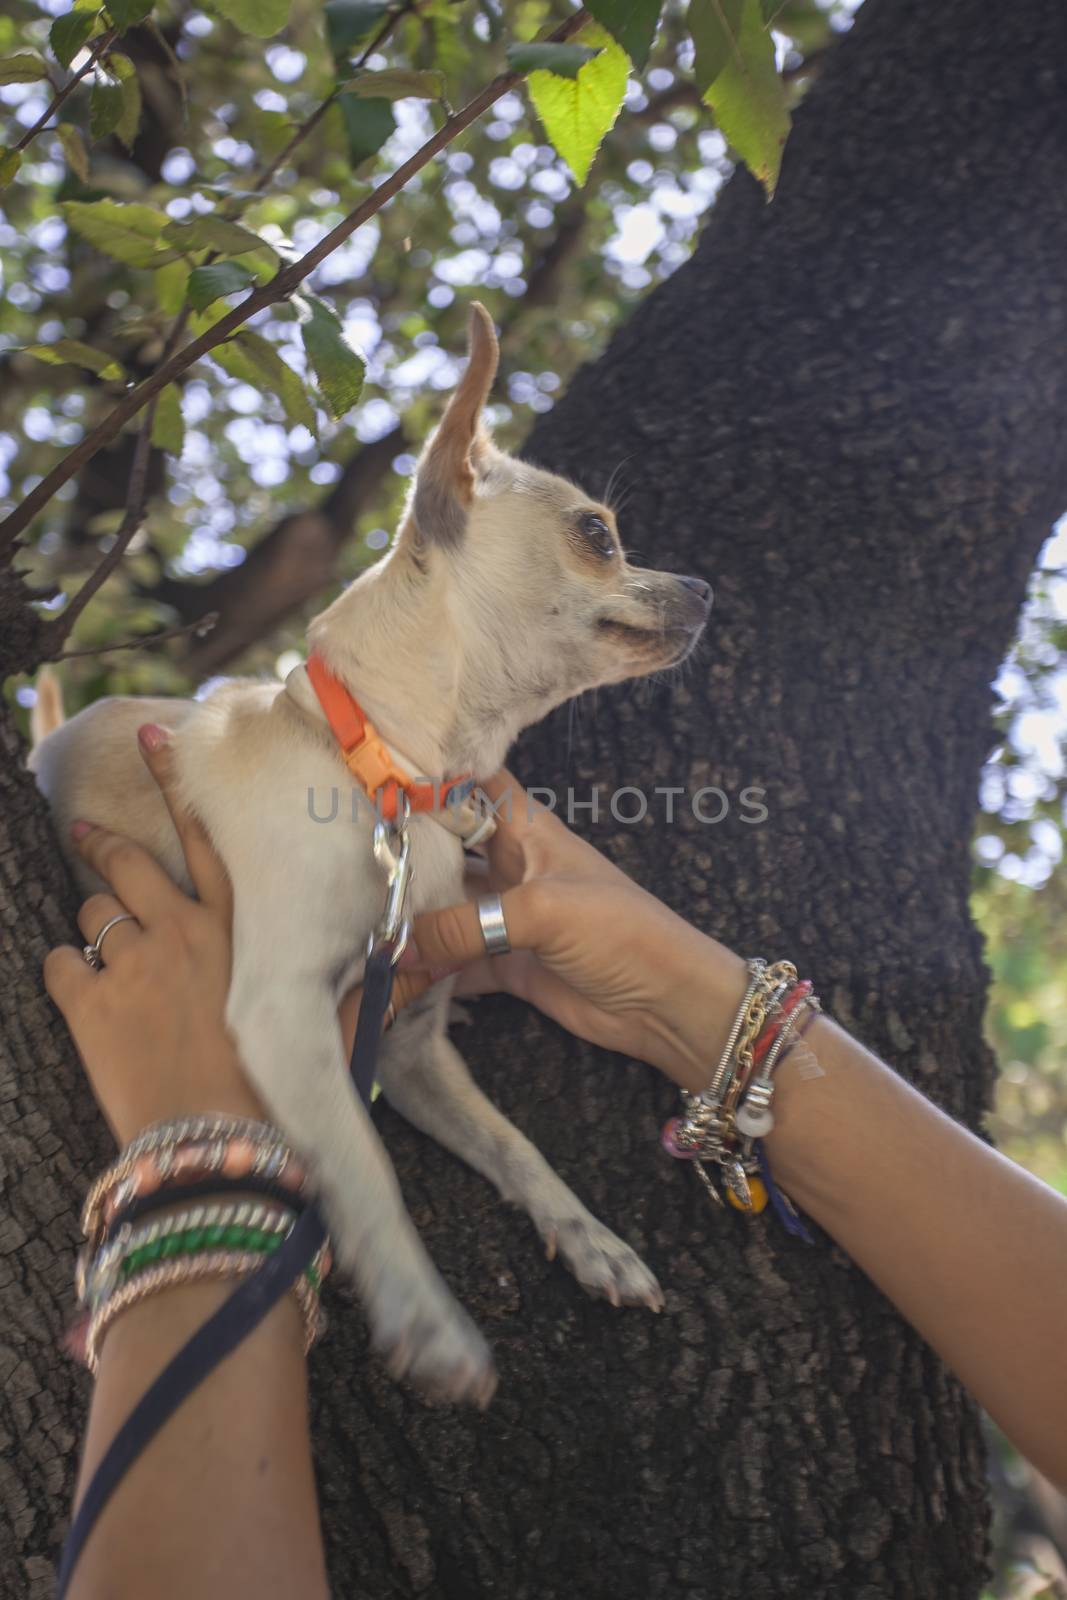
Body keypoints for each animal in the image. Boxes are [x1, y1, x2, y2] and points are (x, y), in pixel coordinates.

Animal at [33, 305, 713, 1408]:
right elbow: (364, 1167)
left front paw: (590, 1239)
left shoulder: (406, 1043)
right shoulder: (285, 1016)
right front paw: (425, 1316)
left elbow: (513, 1143)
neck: (389, 772)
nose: (701, 585)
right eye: (598, 536)